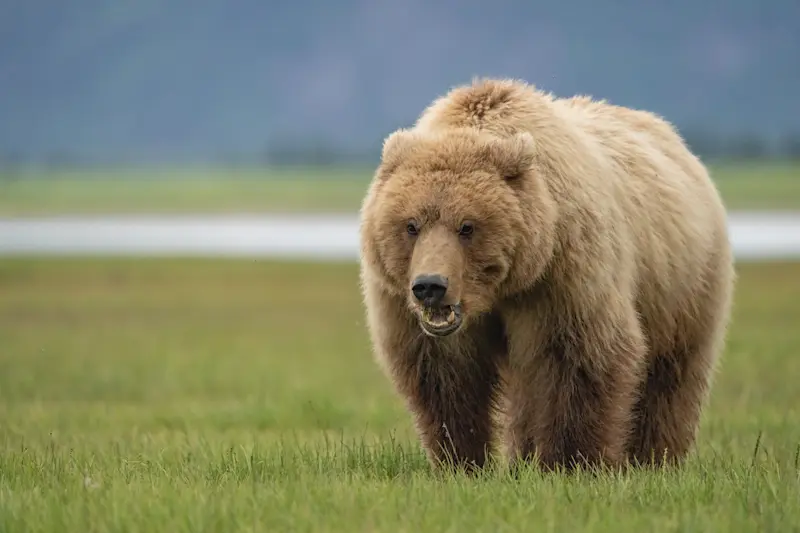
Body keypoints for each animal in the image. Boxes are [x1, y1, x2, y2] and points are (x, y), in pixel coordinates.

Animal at [358, 78, 735, 473]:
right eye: (411, 225)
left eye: (467, 226)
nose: (430, 286)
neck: (501, 289)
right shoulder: (407, 307)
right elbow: (445, 375)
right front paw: (461, 460)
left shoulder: (562, 275)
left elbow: (579, 357)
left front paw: (570, 462)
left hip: (682, 287)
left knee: (670, 376)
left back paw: (653, 459)